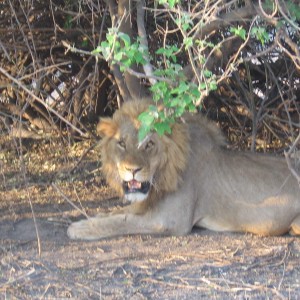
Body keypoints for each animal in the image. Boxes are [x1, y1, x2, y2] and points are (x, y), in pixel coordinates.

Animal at [67, 99, 300, 240]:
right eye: (121, 143)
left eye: (149, 144)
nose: (132, 169)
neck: (162, 175)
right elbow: (121, 212)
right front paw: (95, 216)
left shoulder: (170, 220)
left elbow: (122, 221)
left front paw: (80, 228)